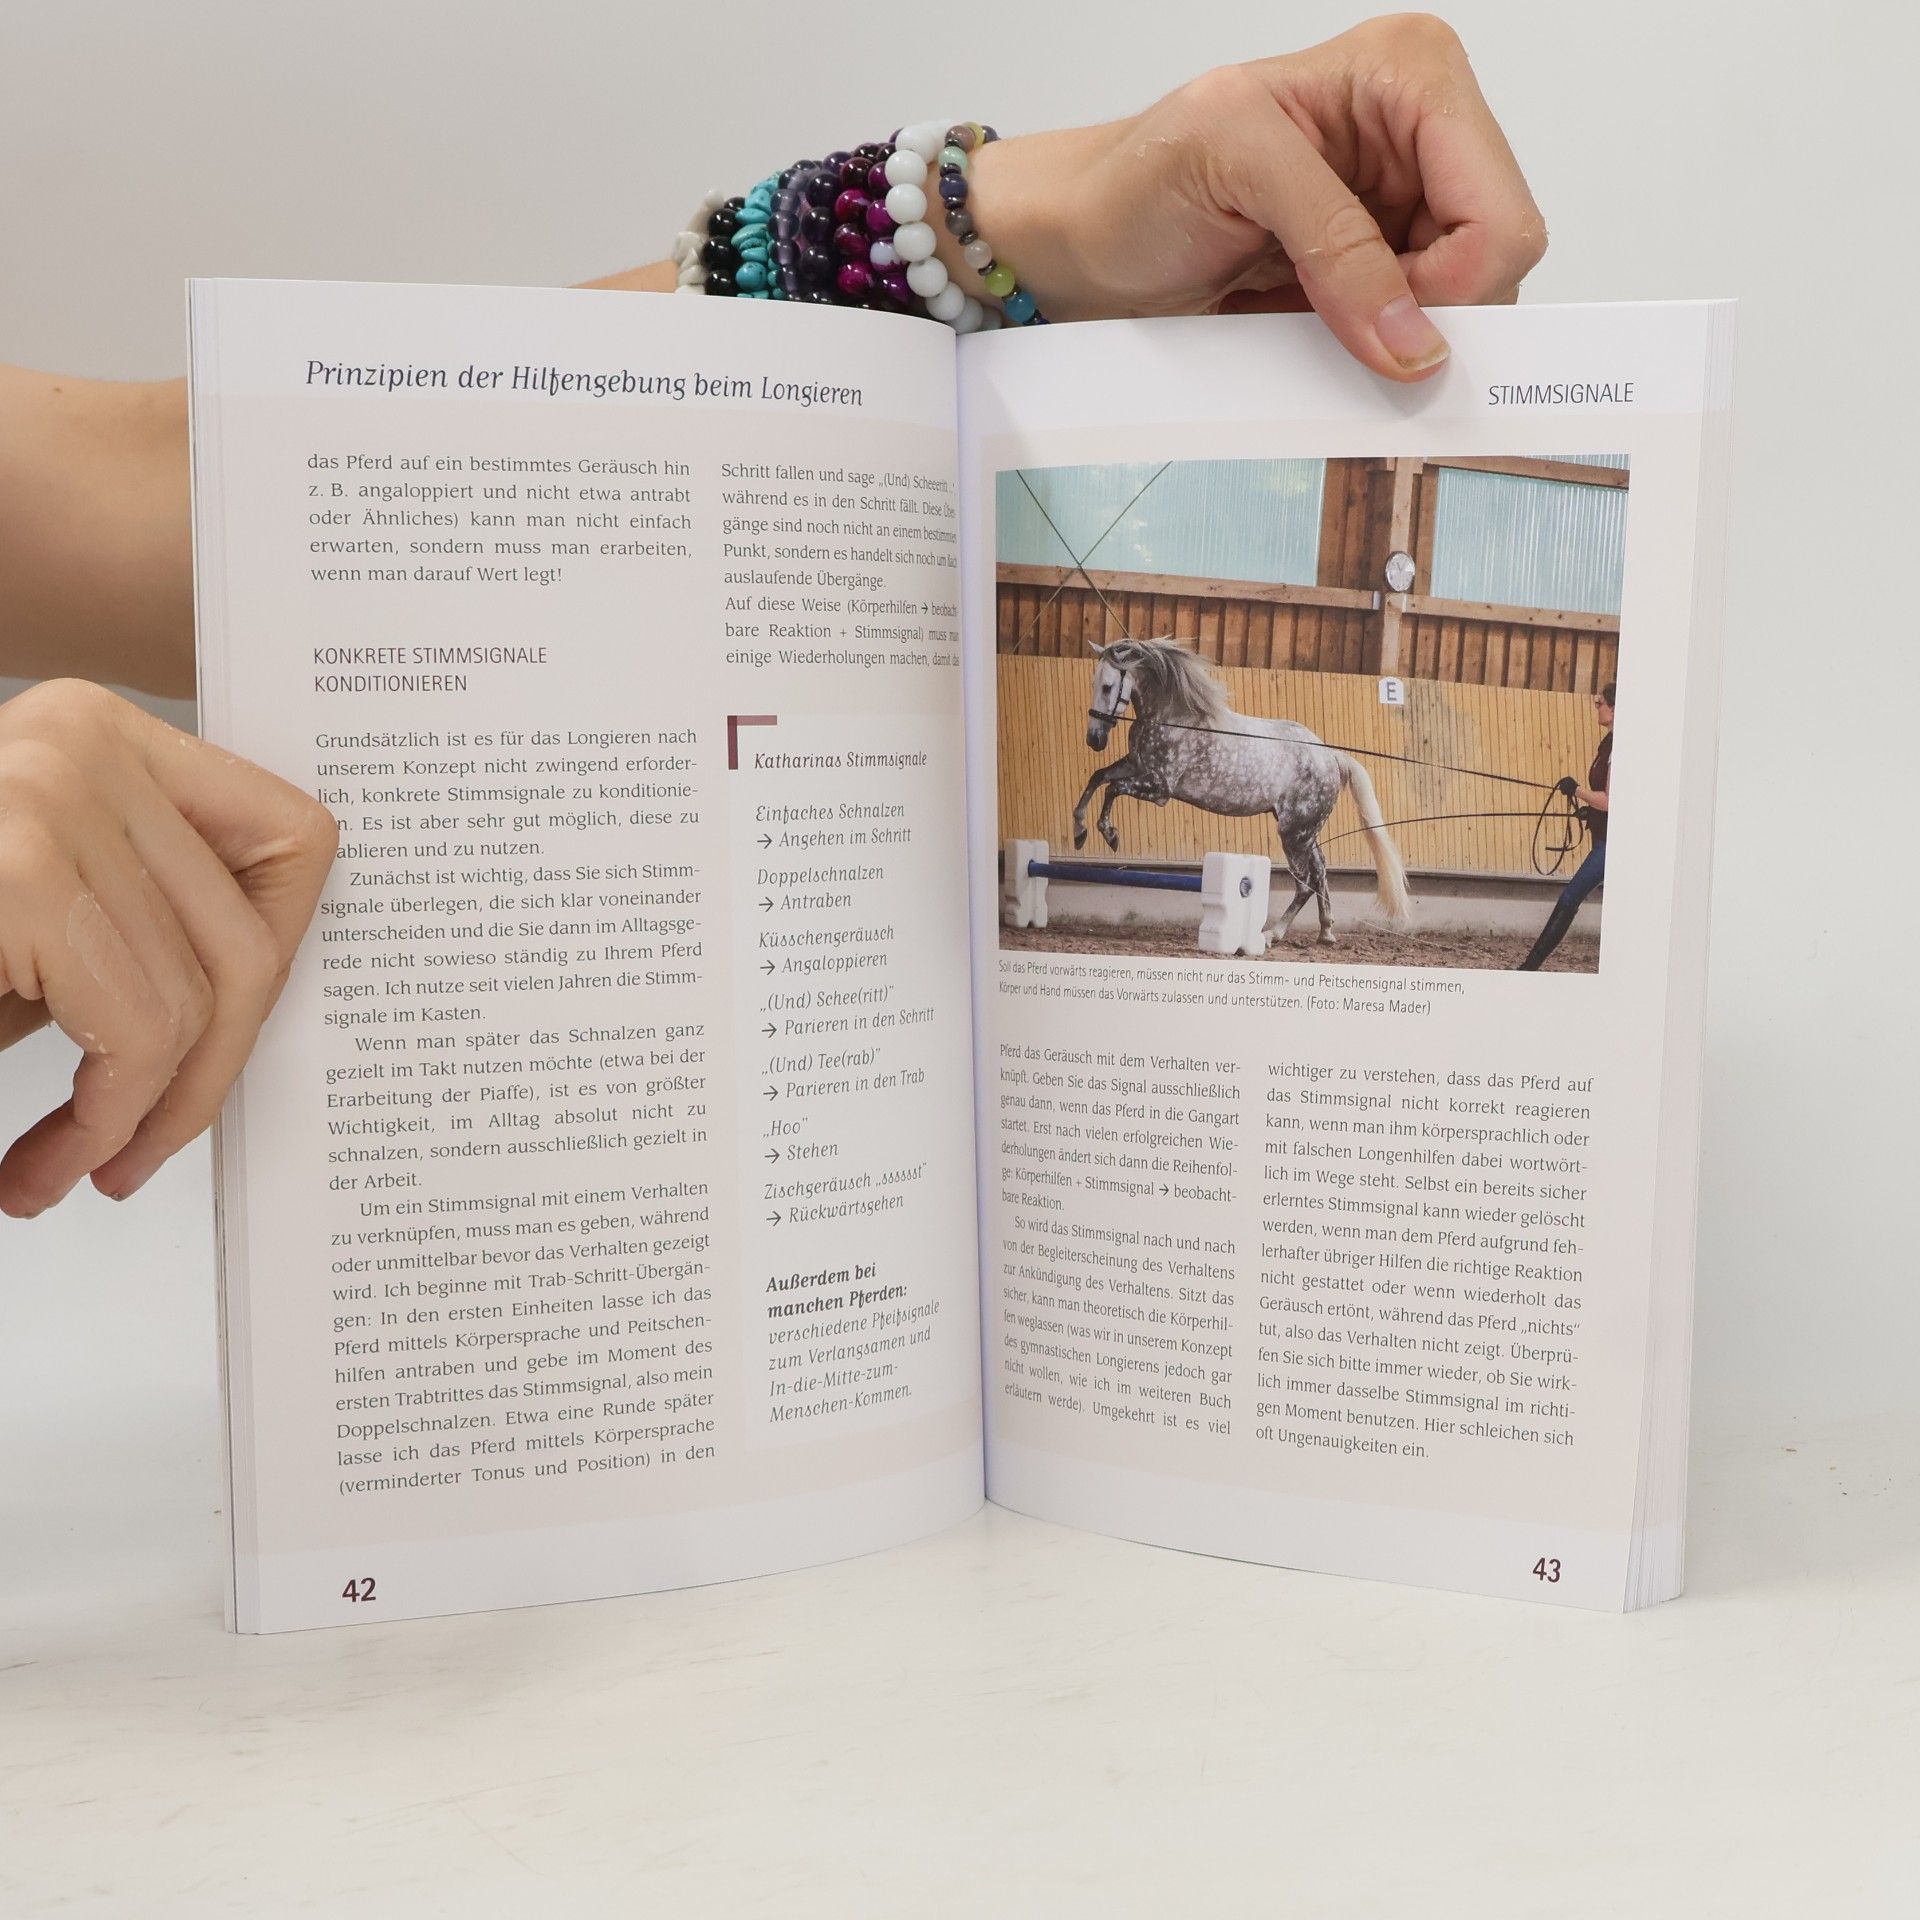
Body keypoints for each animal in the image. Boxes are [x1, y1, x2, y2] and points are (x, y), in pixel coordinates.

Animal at [1072, 638, 1411, 944]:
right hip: (1305, 832)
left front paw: (1109, 834)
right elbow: (1097, 779)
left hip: (1293, 834)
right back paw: (1326, 933)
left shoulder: (1159, 788)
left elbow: (1112, 788)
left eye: (1107, 686)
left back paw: (1273, 934)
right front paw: (1080, 833)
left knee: (1304, 884)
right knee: (1320, 872)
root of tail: (1332, 757)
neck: (1173, 718)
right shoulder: (1136, 765)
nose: (1094, 739)